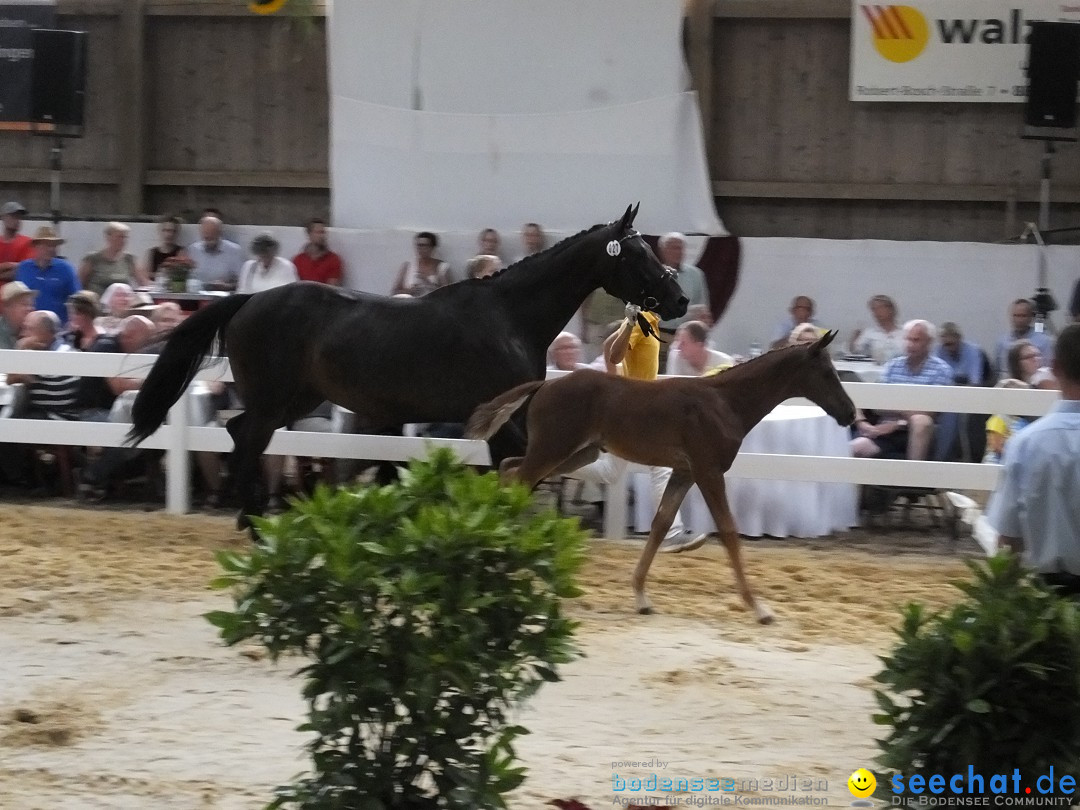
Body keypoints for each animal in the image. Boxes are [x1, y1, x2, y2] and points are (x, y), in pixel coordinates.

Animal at [126, 206, 682, 529]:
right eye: (637, 252)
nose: (678, 298)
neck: (510, 317)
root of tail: (247, 300)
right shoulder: (504, 420)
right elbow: (518, 472)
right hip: (273, 401)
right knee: (247, 439)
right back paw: (253, 521)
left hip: (295, 399)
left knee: (240, 432)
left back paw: (253, 517)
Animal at [468, 332, 855, 626]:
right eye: (827, 373)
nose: (850, 413)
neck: (724, 403)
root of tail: (545, 385)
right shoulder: (708, 470)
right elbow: (729, 531)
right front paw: (760, 608)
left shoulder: (684, 472)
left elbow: (661, 522)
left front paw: (641, 597)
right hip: (554, 450)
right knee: (517, 477)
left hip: (578, 454)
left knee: (509, 468)